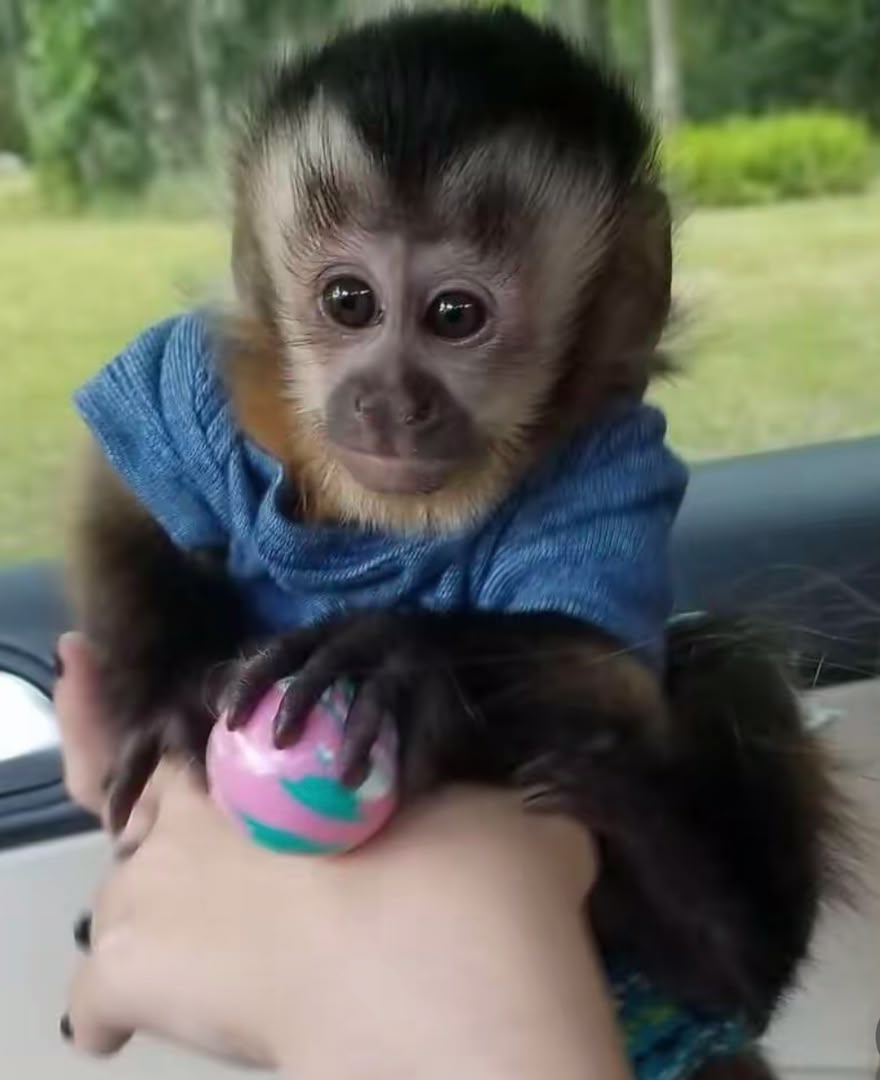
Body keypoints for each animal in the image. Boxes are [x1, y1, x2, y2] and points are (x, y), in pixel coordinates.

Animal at [65, 8, 848, 1079]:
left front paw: (407, 661)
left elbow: (611, 668)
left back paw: (704, 931)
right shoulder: (212, 380)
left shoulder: (614, 455)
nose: (388, 399)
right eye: (348, 302)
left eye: (454, 316)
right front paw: (171, 691)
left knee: (722, 664)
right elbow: (129, 500)